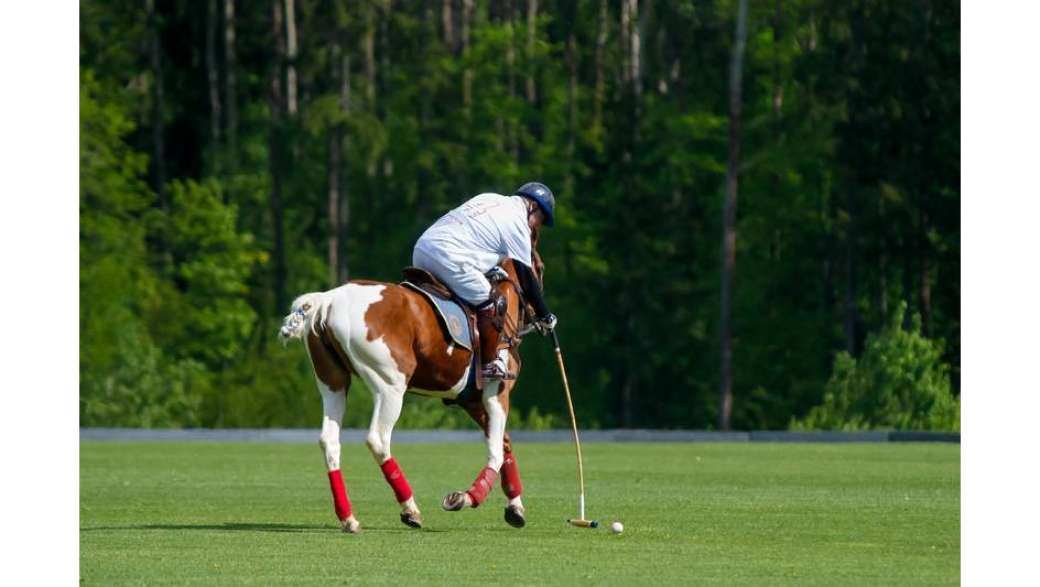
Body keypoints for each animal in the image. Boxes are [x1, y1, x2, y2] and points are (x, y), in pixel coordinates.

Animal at [276, 257, 536, 532]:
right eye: (538, 267)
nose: (544, 320)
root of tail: (327, 301)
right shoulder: (495, 394)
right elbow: (497, 451)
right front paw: (465, 498)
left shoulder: (471, 400)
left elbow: (504, 444)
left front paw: (515, 508)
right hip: (390, 386)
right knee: (378, 440)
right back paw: (410, 509)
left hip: (332, 382)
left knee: (329, 440)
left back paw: (349, 518)